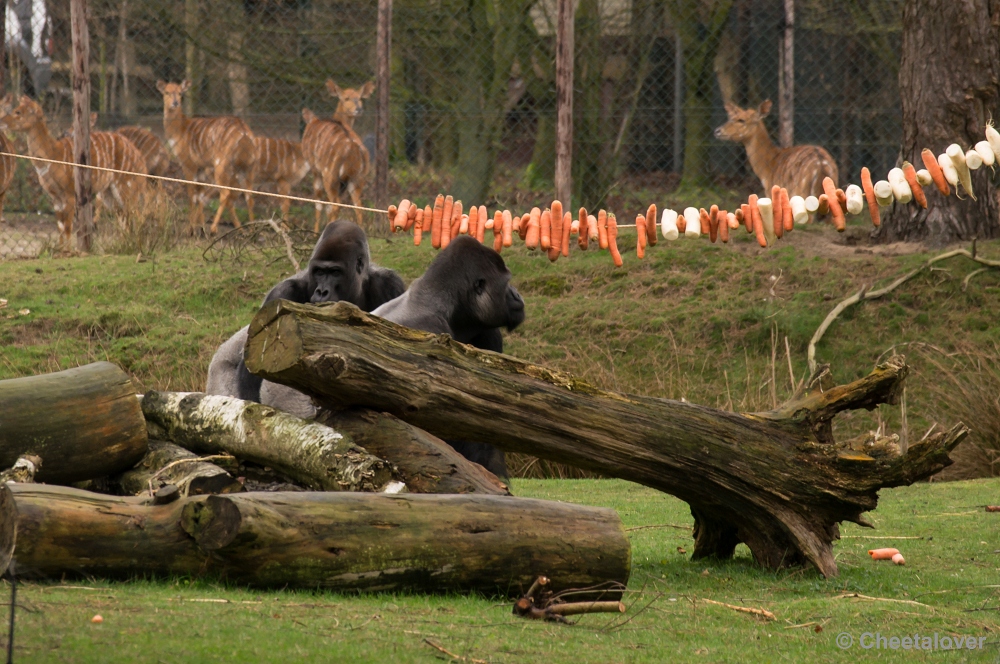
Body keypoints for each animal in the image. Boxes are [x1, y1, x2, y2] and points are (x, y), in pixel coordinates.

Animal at [0, 94, 148, 245]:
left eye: (18, 112)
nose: (2, 121)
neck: (53, 154)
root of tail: (140, 159)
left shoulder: (69, 194)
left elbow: (67, 229)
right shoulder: (56, 197)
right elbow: (60, 229)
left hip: (127, 190)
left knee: (138, 217)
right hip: (109, 194)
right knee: (126, 220)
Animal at [155, 81, 256, 236]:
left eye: (180, 92)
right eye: (167, 92)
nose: (175, 102)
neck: (181, 130)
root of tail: (245, 134)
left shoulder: (188, 163)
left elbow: (192, 195)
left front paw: (190, 229)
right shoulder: (201, 167)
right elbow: (200, 195)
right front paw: (200, 228)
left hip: (222, 164)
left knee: (226, 193)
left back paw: (214, 229)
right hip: (247, 167)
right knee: (248, 195)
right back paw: (250, 230)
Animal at [300, 79, 376, 231]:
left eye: (359, 98)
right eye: (346, 98)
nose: (358, 109)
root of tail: (353, 149)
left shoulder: (316, 170)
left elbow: (319, 202)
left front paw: (315, 231)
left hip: (330, 176)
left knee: (335, 204)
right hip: (357, 179)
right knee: (358, 206)